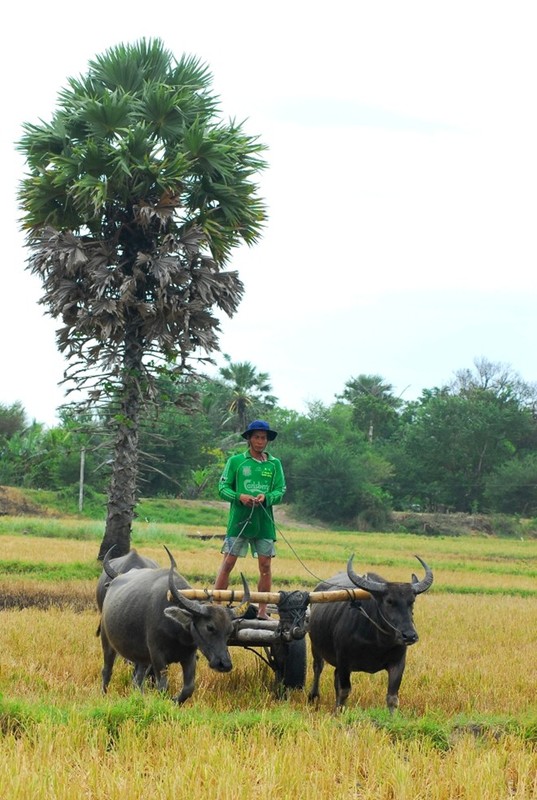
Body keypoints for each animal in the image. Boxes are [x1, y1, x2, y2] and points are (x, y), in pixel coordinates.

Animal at [99, 548, 250, 704]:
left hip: (141, 657)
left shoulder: (189, 657)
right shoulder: (157, 655)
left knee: (137, 681)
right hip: (107, 642)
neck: (177, 633)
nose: (225, 664)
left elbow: (188, 688)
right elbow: (163, 686)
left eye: (229, 631)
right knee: (107, 671)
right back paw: (103, 694)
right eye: (209, 627)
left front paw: (174, 700)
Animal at [306, 556, 432, 712]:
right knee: (318, 667)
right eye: (389, 601)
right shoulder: (344, 660)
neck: (377, 642)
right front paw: (338, 712)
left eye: (412, 601)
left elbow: (392, 698)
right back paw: (313, 696)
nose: (409, 635)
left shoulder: (398, 663)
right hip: (315, 646)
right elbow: (344, 690)